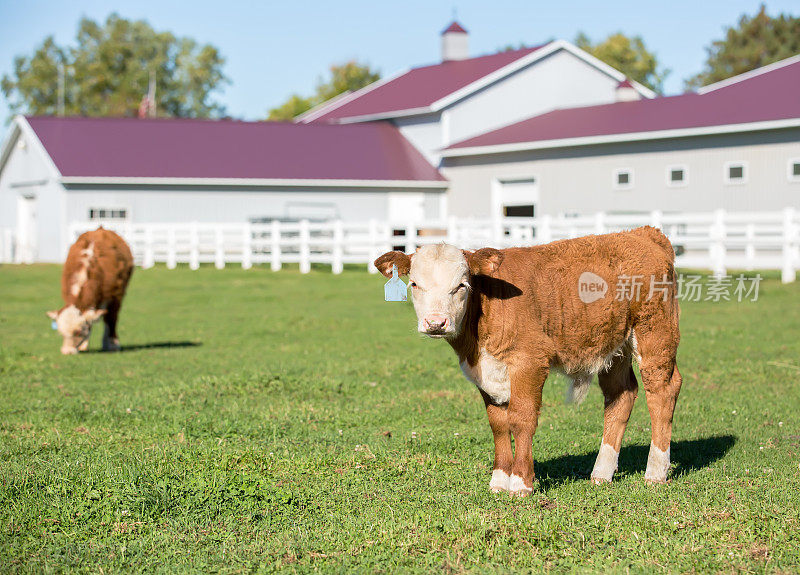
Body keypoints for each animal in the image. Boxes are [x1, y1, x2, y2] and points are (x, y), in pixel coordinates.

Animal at [47, 228, 134, 356]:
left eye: (78, 332)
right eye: (61, 332)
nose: (67, 352)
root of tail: (101, 229)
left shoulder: (115, 296)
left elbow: (111, 318)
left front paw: (113, 344)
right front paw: (83, 345)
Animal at [376, 227, 680, 498]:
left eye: (461, 285)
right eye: (415, 284)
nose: (436, 323)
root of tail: (642, 232)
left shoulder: (530, 362)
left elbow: (521, 419)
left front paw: (521, 483)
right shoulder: (486, 373)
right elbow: (498, 424)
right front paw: (499, 481)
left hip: (656, 334)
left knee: (662, 392)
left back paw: (655, 473)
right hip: (614, 345)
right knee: (621, 395)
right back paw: (601, 474)